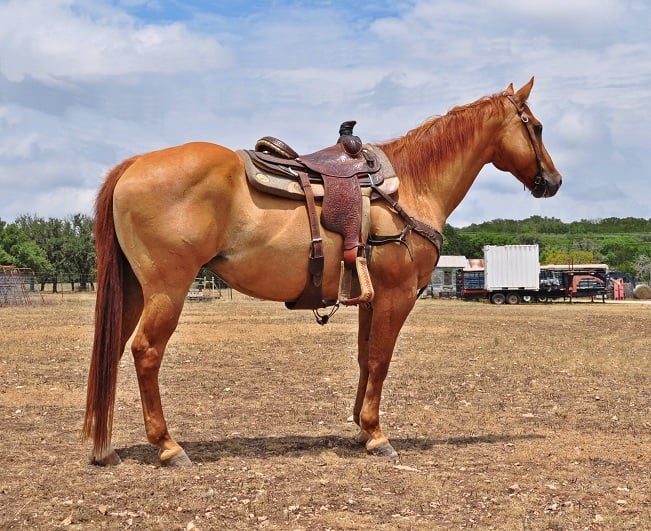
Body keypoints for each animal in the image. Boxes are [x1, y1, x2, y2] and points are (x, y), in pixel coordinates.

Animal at [83, 78, 560, 466]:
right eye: (536, 127)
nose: (553, 182)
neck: (412, 184)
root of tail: (134, 165)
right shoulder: (397, 295)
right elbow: (381, 359)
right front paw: (378, 436)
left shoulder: (371, 297)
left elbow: (365, 358)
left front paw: (362, 428)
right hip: (168, 288)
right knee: (146, 351)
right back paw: (168, 446)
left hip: (135, 291)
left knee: (115, 348)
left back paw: (105, 448)